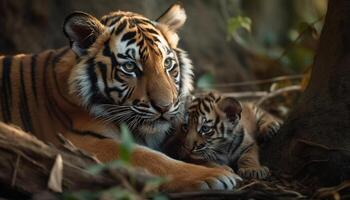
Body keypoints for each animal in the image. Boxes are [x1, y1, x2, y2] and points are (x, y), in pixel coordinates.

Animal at [0, 2, 241, 191]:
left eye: (167, 64)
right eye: (130, 67)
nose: (165, 107)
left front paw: (219, 166)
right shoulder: (81, 141)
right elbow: (151, 158)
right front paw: (215, 175)